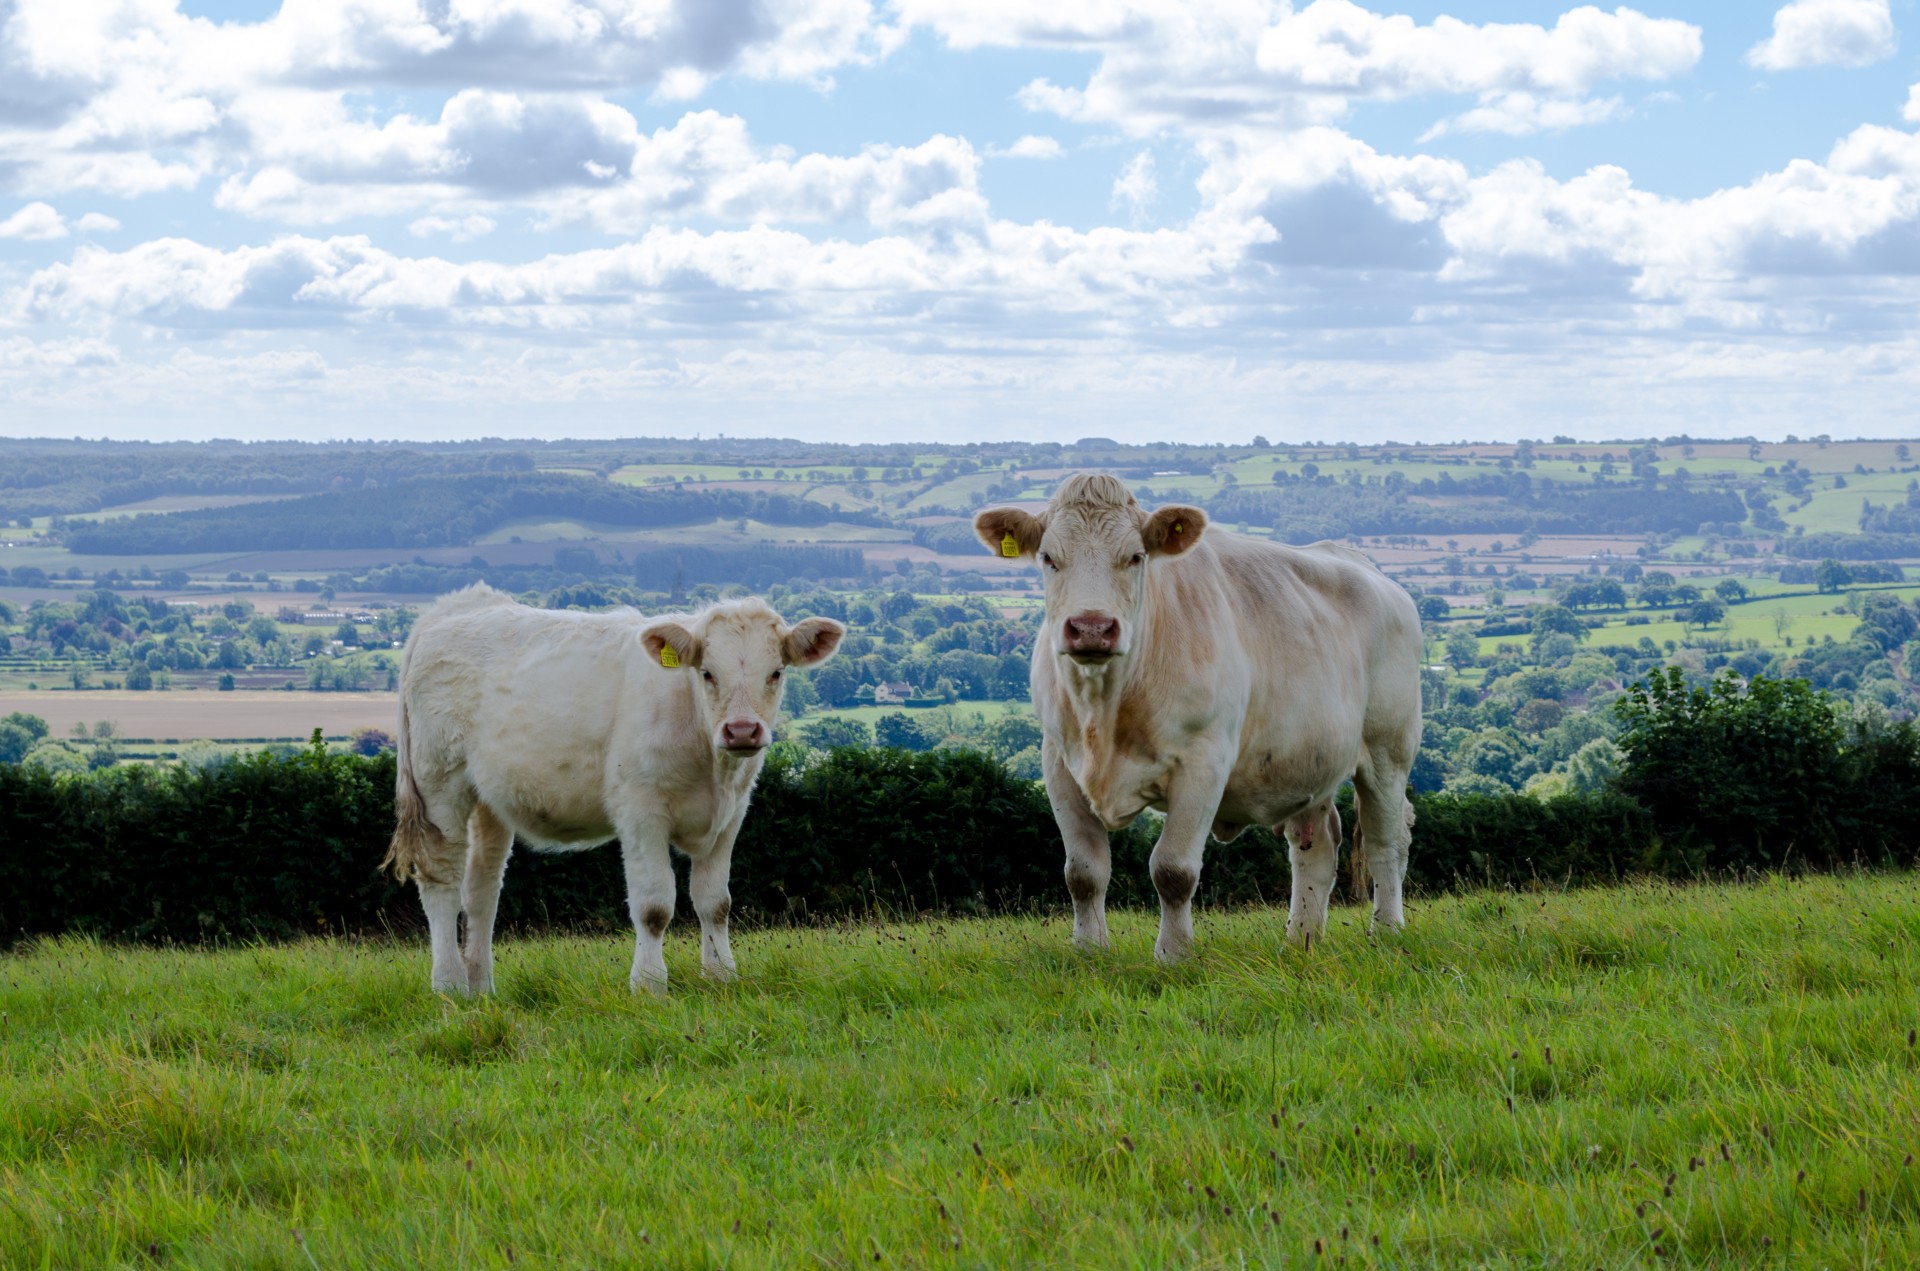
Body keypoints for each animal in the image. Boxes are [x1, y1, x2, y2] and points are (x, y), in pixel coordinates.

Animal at [382, 587, 840, 998]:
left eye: (775, 673)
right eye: (708, 672)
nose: (742, 730)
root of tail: (457, 605)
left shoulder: (731, 814)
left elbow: (716, 902)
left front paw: (722, 977)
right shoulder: (640, 810)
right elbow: (654, 906)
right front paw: (649, 986)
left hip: (488, 801)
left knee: (481, 890)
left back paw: (481, 989)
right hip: (439, 785)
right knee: (442, 883)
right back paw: (449, 985)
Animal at [983, 478, 1420, 967]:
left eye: (1135, 557)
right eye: (1048, 558)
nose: (1092, 627)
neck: (1106, 706)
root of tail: (1364, 565)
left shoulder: (1203, 764)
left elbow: (1173, 870)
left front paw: (1173, 955)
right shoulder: (1058, 763)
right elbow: (1083, 872)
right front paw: (1089, 951)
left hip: (1388, 753)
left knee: (1386, 842)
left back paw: (1386, 932)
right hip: (1308, 758)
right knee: (1317, 845)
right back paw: (1300, 940)